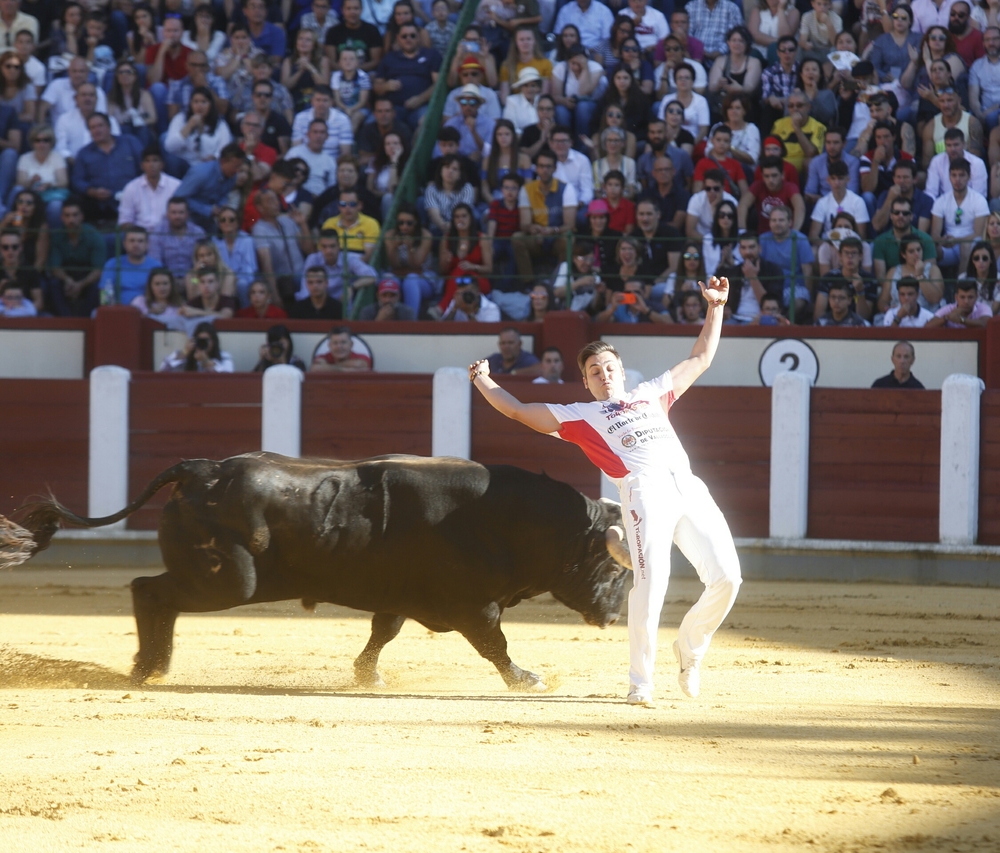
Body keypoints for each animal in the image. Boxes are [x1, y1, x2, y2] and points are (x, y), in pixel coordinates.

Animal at [1, 456, 632, 688]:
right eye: (615, 564)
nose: (616, 616)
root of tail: (200, 469)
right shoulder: (474, 607)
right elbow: (494, 645)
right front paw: (525, 679)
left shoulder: (398, 596)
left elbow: (383, 632)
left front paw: (366, 676)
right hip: (228, 580)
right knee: (149, 592)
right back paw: (147, 667)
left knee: (156, 595)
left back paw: (149, 666)